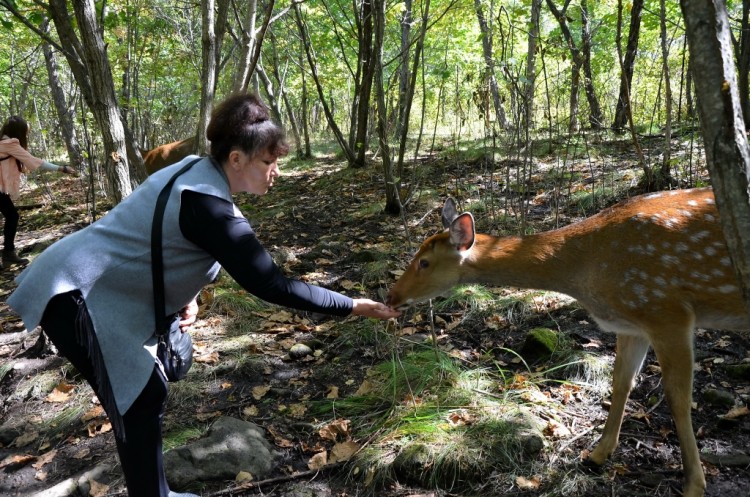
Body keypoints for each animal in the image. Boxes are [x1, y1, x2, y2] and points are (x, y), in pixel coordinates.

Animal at [384, 187, 748, 496]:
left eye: (425, 262)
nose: (391, 296)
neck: (587, 269)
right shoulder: (631, 324)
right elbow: (621, 382)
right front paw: (598, 454)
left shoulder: (667, 311)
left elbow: (678, 398)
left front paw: (694, 484)